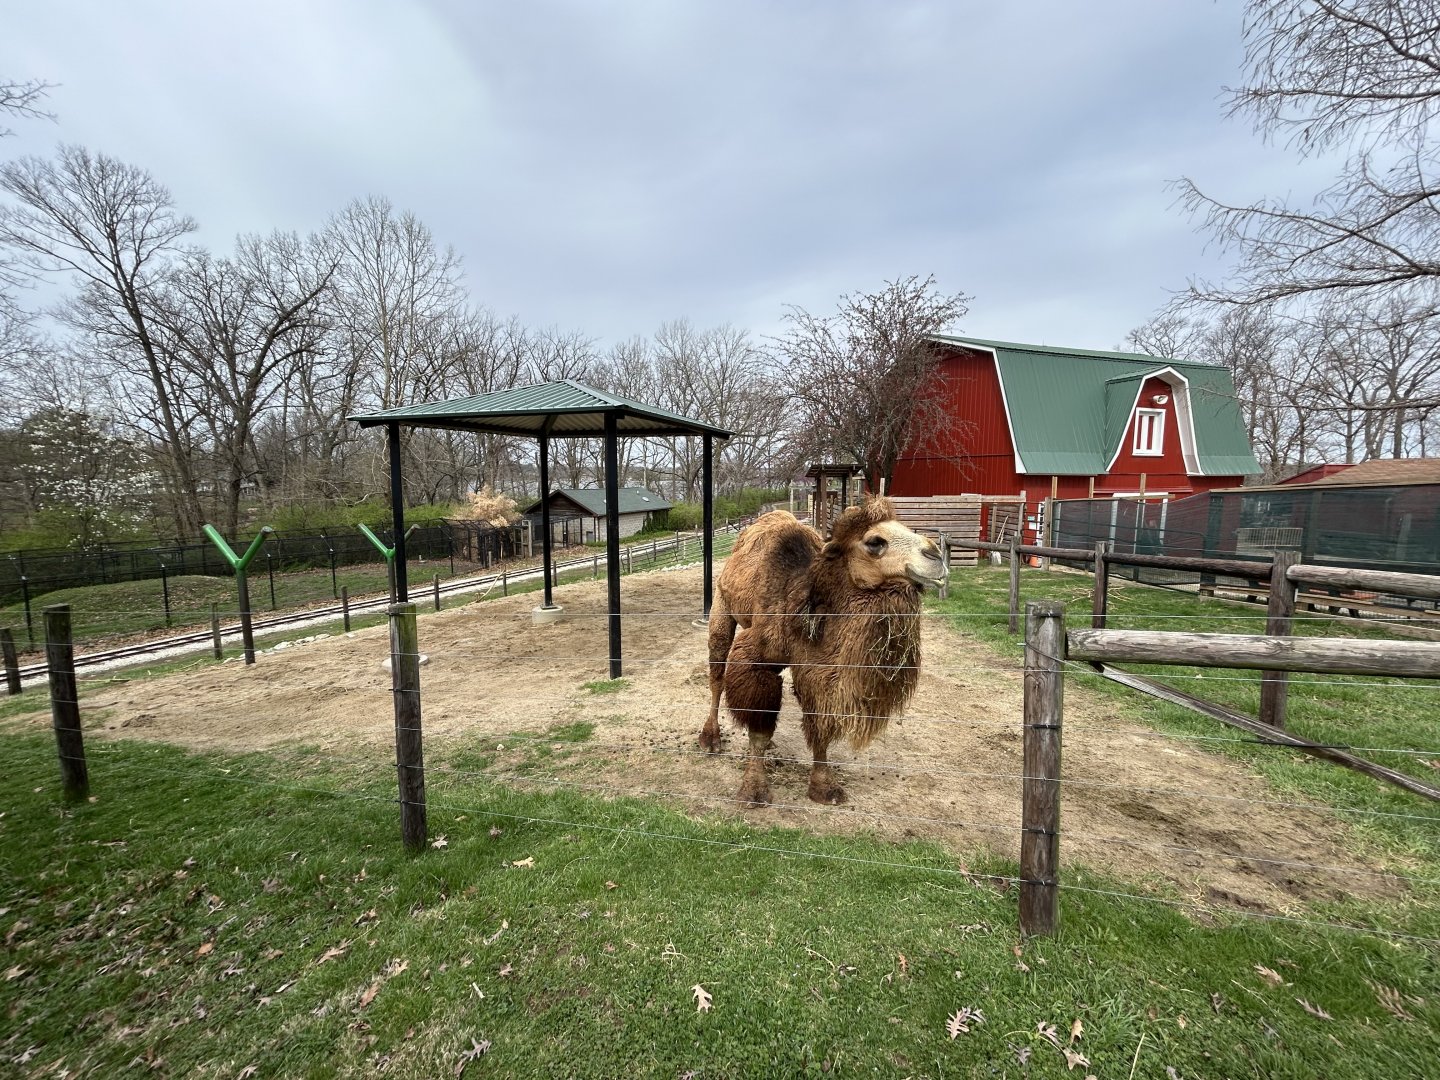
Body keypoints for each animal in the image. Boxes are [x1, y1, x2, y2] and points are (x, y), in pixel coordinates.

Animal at [700, 497, 947, 806]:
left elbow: (820, 725)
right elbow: (759, 723)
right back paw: (710, 738)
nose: (936, 556)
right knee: (717, 674)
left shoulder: (816, 668)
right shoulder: (757, 655)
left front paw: (824, 787)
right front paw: (753, 789)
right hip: (721, 605)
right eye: (875, 542)